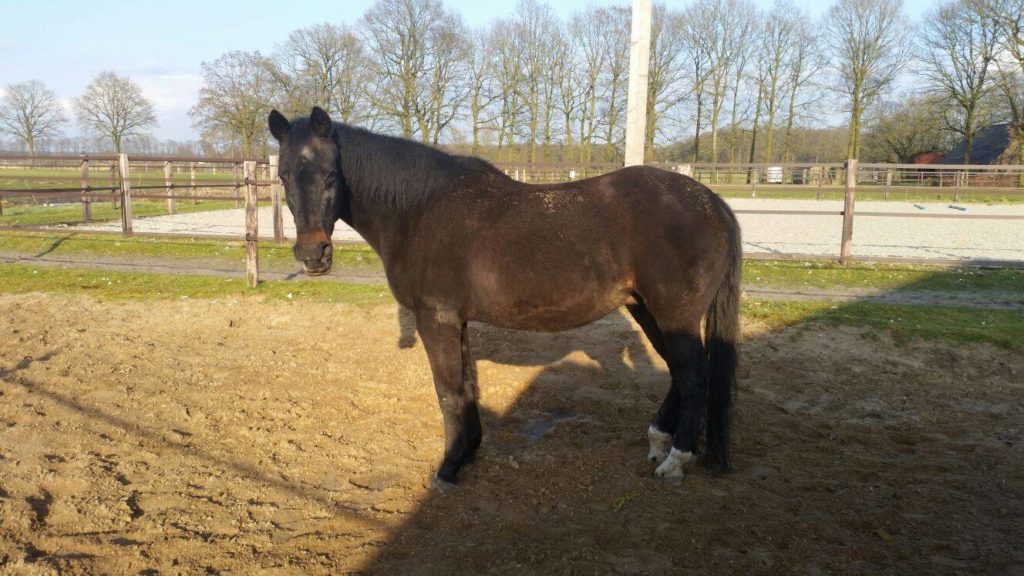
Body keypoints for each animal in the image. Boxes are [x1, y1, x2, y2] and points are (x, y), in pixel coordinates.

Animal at [268, 107, 742, 487]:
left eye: (331, 176)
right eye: (284, 176)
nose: (313, 255)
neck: (419, 210)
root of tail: (712, 203)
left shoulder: (435, 319)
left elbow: (448, 392)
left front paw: (448, 468)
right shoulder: (455, 320)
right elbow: (466, 388)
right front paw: (469, 451)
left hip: (673, 315)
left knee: (693, 377)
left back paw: (675, 462)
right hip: (647, 311)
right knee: (682, 374)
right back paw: (658, 442)